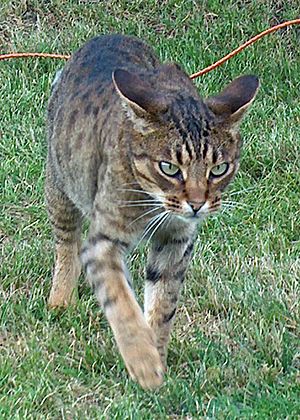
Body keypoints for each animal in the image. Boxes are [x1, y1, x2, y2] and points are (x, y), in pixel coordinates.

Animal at [45, 33, 258, 390]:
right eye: (169, 168)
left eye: (219, 169)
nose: (197, 203)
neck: (154, 204)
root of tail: (109, 34)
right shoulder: (104, 240)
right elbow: (120, 300)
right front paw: (143, 362)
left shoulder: (177, 242)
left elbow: (162, 304)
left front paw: (157, 356)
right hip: (61, 184)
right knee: (66, 242)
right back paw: (60, 299)